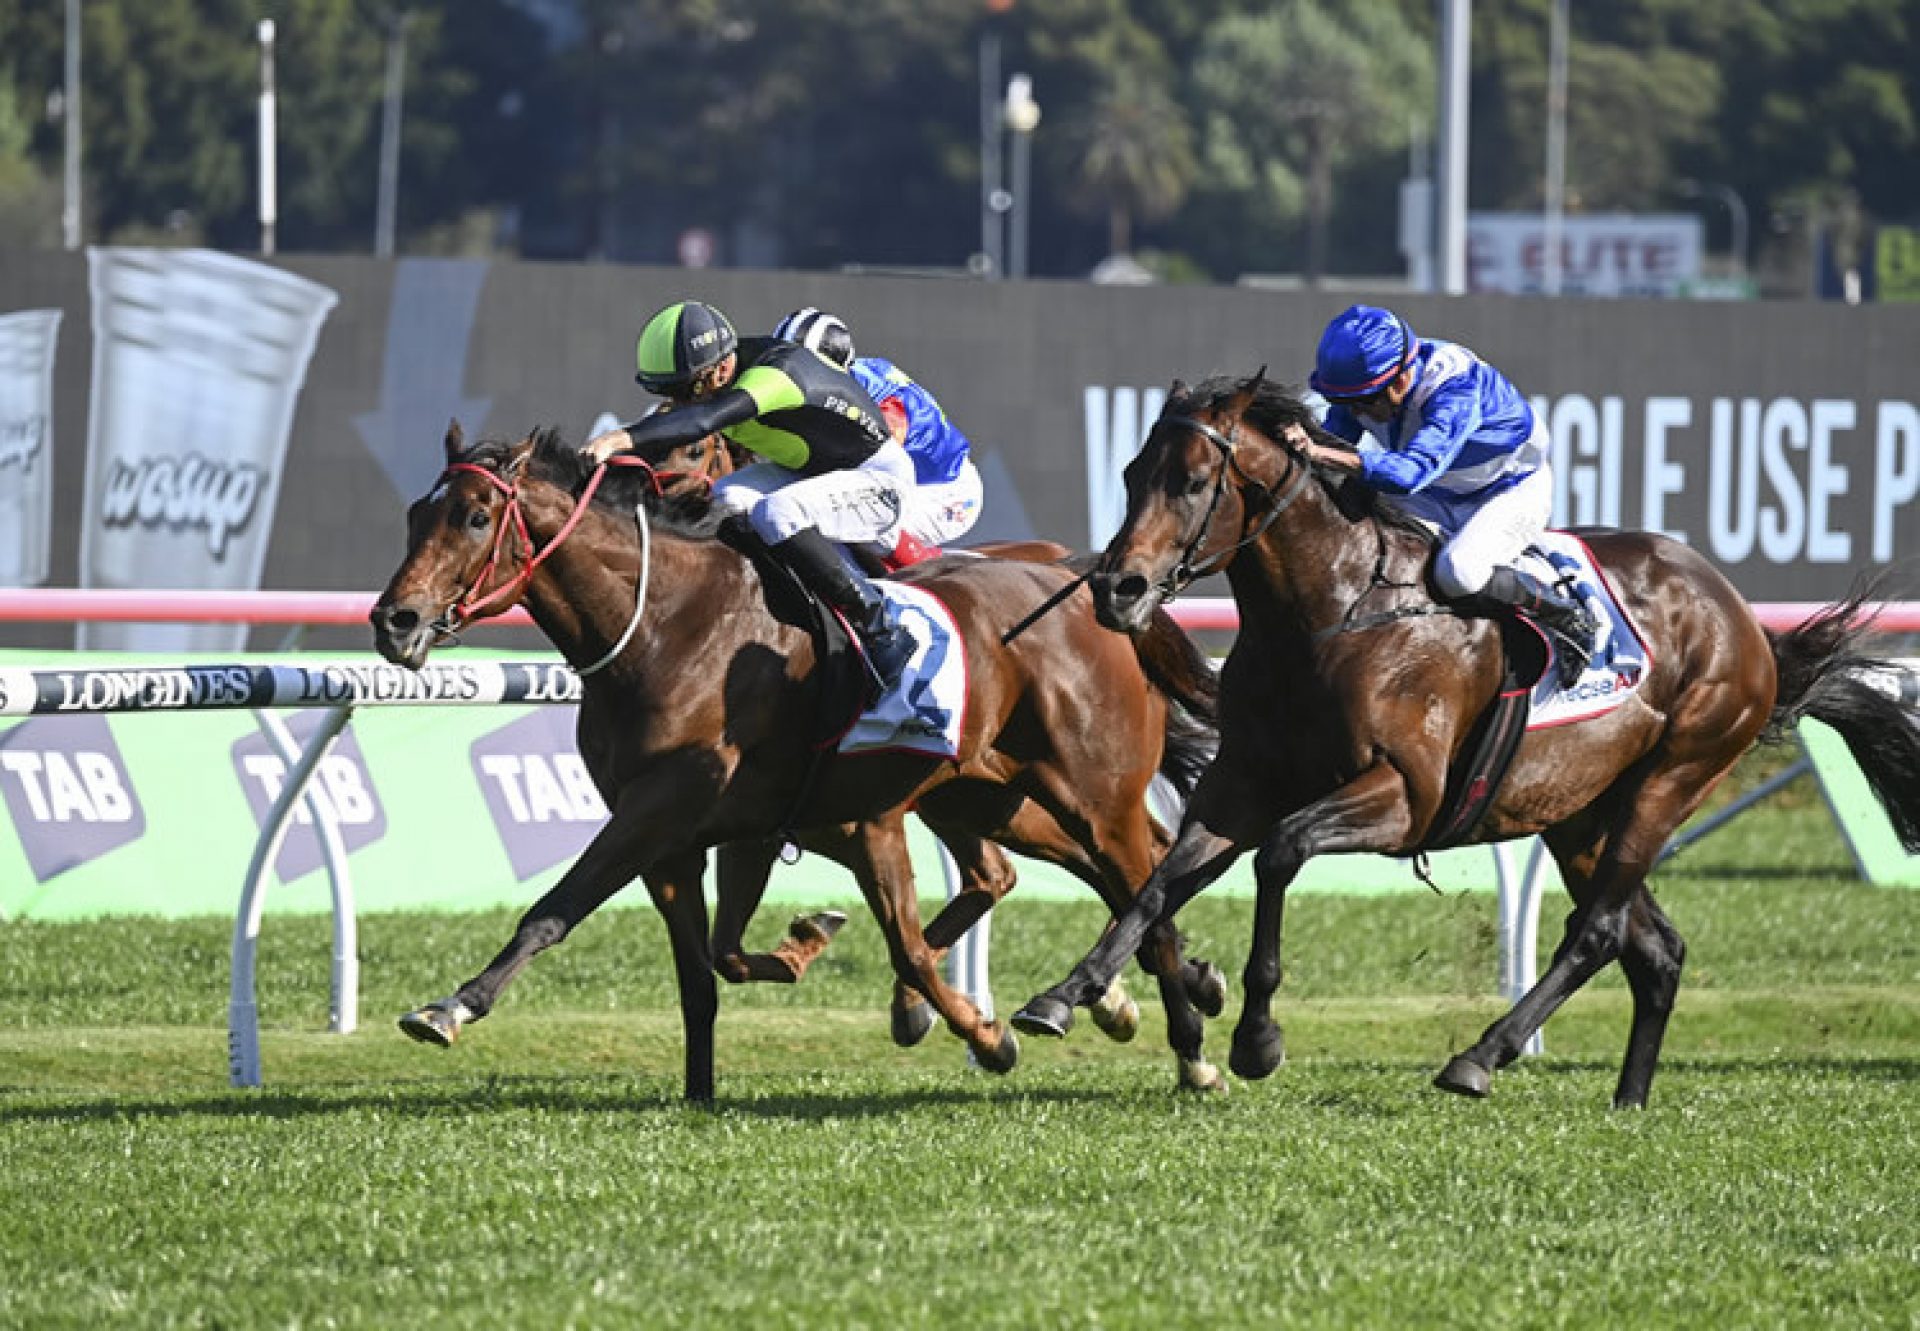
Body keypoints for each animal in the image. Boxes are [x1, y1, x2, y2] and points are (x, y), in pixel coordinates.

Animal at [364, 426, 1221, 1098]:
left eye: (476, 516)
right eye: (414, 515)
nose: (393, 620)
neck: (668, 626)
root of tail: (1084, 582)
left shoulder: (685, 812)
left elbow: (556, 908)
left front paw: (449, 1006)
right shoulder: (700, 836)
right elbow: (708, 968)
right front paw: (707, 1080)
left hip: (1090, 792)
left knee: (1142, 878)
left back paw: (1181, 1040)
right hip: (994, 795)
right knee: (1090, 872)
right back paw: (1166, 997)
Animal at [1013, 368, 1912, 1106]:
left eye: (1195, 481)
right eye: (1132, 474)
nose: (1117, 588)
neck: (1331, 612)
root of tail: (1747, 626)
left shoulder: (1405, 795)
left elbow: (1279, 853)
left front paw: (1258, 1037)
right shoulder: (1240, 783)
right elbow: (1159, 881)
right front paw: (1066, 993)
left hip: (1672, 777)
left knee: (1598, 931)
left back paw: (1481, 1055)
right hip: (1580, 812)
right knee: (1655, 948)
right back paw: (1626, 1099)